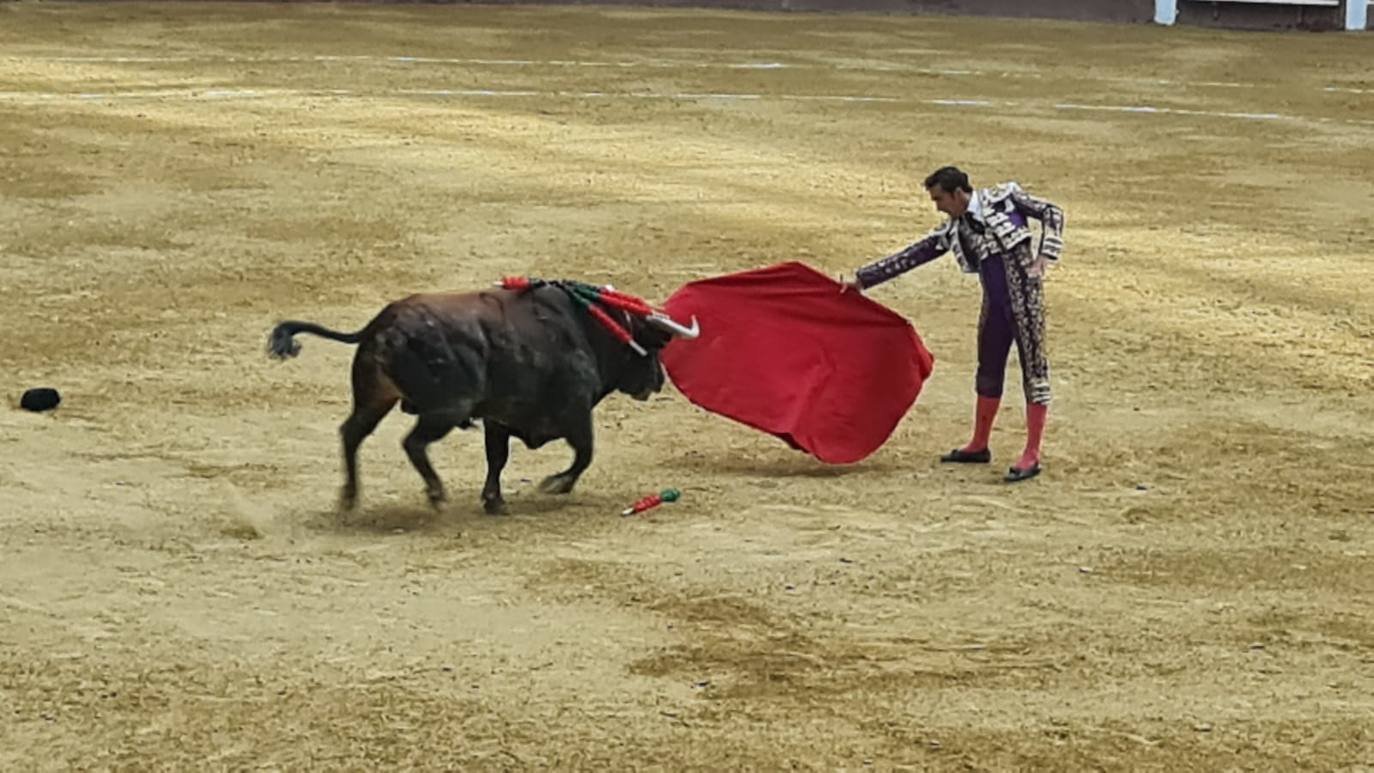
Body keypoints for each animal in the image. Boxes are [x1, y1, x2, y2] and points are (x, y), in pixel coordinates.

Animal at [265, 281, 697, 516]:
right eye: (654, 345)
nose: (658, 381)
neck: (590, 329)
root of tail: (382, 323)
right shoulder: (575, 412)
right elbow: (585, 454)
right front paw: (554, 485)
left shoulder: (498, 419)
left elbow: (497, 458)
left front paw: (494, 501)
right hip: (447, 406)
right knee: (412, 442)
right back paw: (435, 494)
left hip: (375, 398)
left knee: (352, 434)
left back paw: (350, 498)